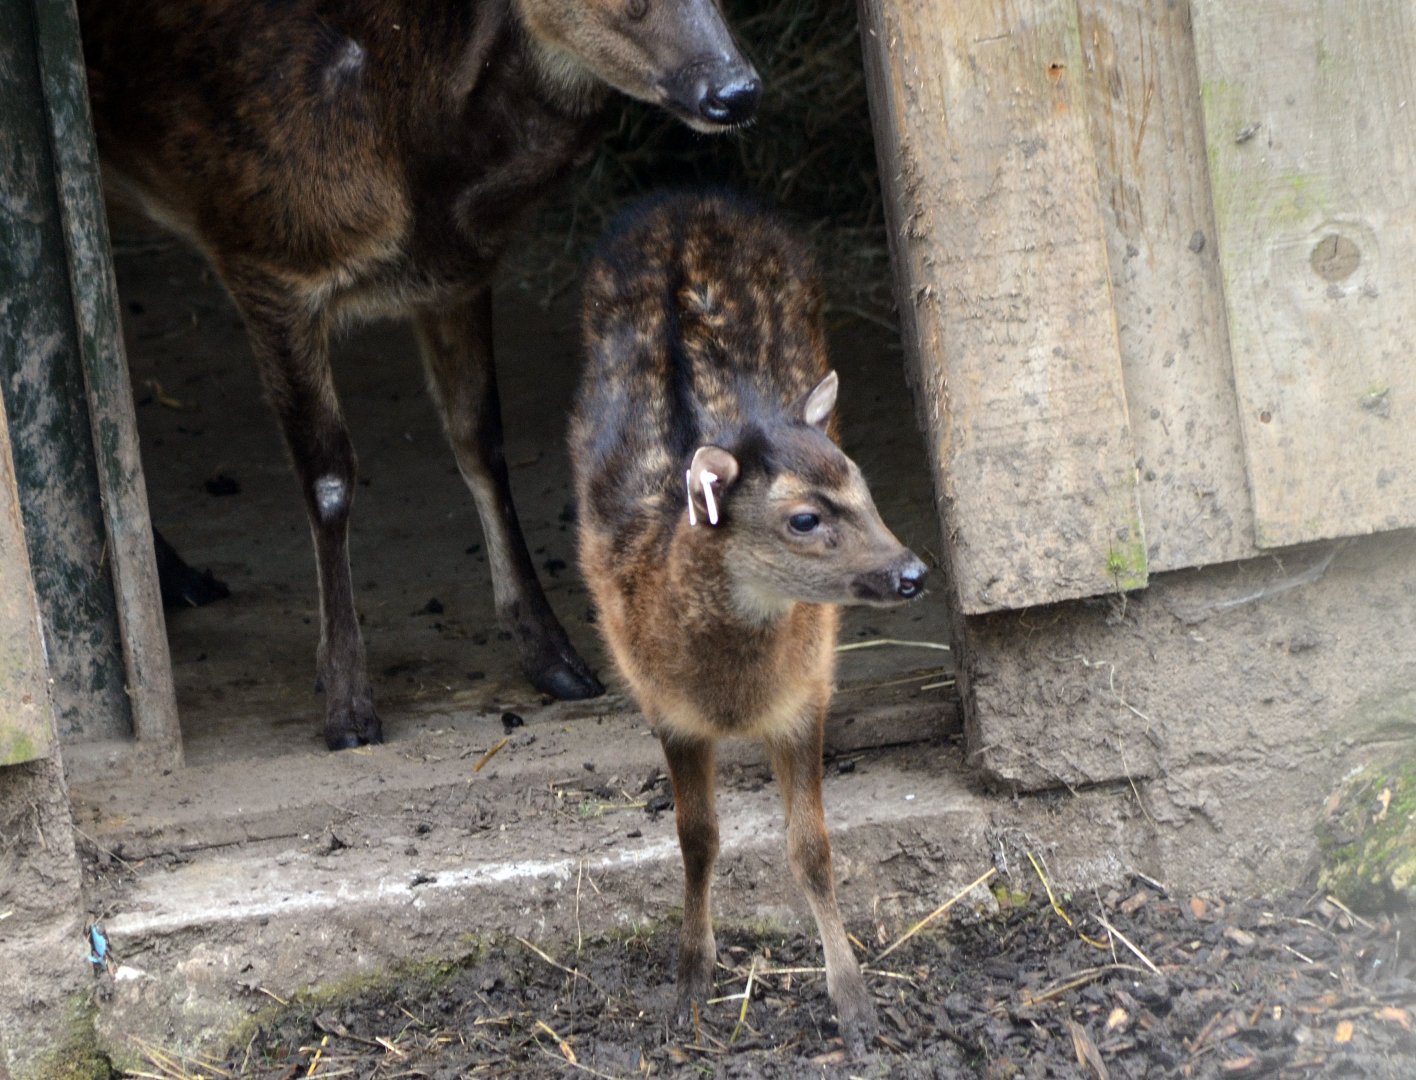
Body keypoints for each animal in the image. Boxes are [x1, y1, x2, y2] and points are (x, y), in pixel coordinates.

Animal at [76, 0, 761, 750]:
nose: (736, 89)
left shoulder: (455, 275)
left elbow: (481, 441)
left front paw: (555, 658)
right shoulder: (266, 256)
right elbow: (328, 476)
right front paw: (346, 704)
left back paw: (181, 579)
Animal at [570, 191, 928, 1055]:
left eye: (864, 488)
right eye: (803, 518)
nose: (913, 573)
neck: (732, 695)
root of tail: (681, 197)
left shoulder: (806, 691)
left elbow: (813, 849)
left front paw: (856, 1006)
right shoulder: (663, 702)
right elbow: (696, 840)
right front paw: (687, 989)